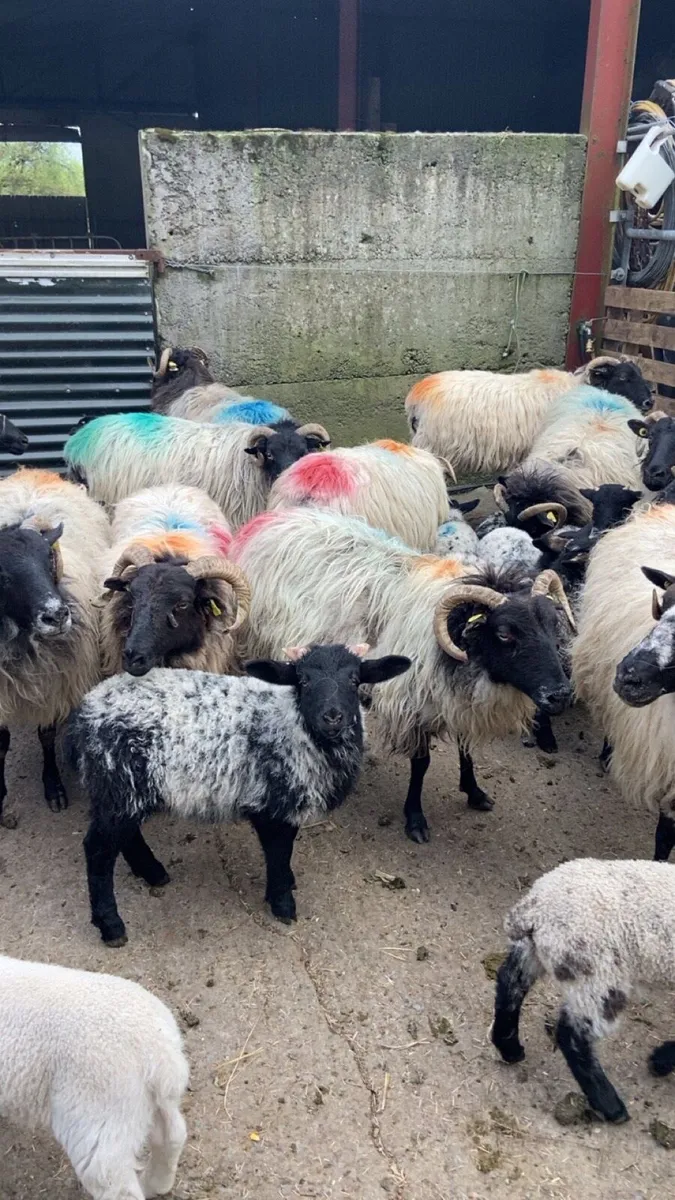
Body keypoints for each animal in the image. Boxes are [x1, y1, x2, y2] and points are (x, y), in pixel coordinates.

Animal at [0, 468, 110, 823]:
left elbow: (46, 735)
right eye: (2, 574)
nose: (57, 615)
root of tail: (36, 471)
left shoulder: (57, 680)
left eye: (48, 559)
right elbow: (2, 742)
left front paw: (54, 788)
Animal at [0, 953, 188, 1197]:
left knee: (116, 1185)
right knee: (172, 1135)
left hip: (98, 1113)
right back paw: (155, 1184)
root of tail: (159, 1050)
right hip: (149, 1101)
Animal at [70, 644, 411, 943]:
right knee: (98, 850)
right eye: (303, 680)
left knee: (125, 837)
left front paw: (286, 882)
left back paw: (152, 872)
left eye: (355, 680)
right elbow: (278, 852)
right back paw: (111, 925)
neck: (294, 725)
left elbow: (284, 851)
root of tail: (86, 709)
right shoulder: (271, 805)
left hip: (126, 790)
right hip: (117, 783)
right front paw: (282, 902)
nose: (332, 716)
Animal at [230, 507, 574, 842]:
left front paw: (474, 792)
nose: (560, 695)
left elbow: (465, 749)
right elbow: (421, 764)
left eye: (551, 624)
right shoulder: (411, 704)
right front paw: (415, 819)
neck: (454, 638)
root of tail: (270, 520)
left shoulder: (455, 700)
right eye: (504, 634)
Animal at [492, 858, 675, 1124]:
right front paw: (661, 1061)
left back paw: (510, 1048)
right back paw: (610, 1106)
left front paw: (661, 1060)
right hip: (597, 973)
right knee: (572, 1034)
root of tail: (533, 908)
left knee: (510, 984)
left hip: (541, 951)